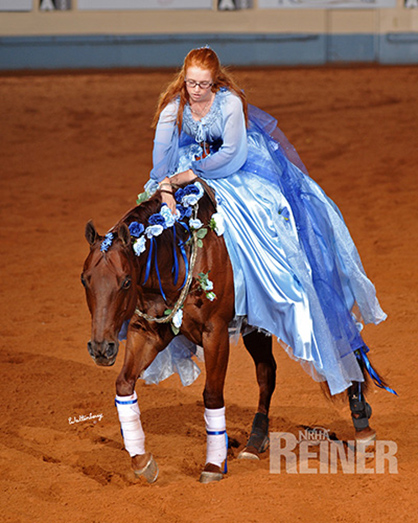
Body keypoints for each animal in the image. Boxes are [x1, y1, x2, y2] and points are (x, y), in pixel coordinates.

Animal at [83, 180, 378, 484]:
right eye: (85, 280)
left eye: (126, 281)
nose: (101, 348)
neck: (180, 256)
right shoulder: (148, 332)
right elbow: (124, 384)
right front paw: (142, 461)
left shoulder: (215, 333)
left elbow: (212, 394)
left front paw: (213, 465)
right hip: (257, 327)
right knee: (266, 372)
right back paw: (254, 441)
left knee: (346, 348)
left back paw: (362, 424)